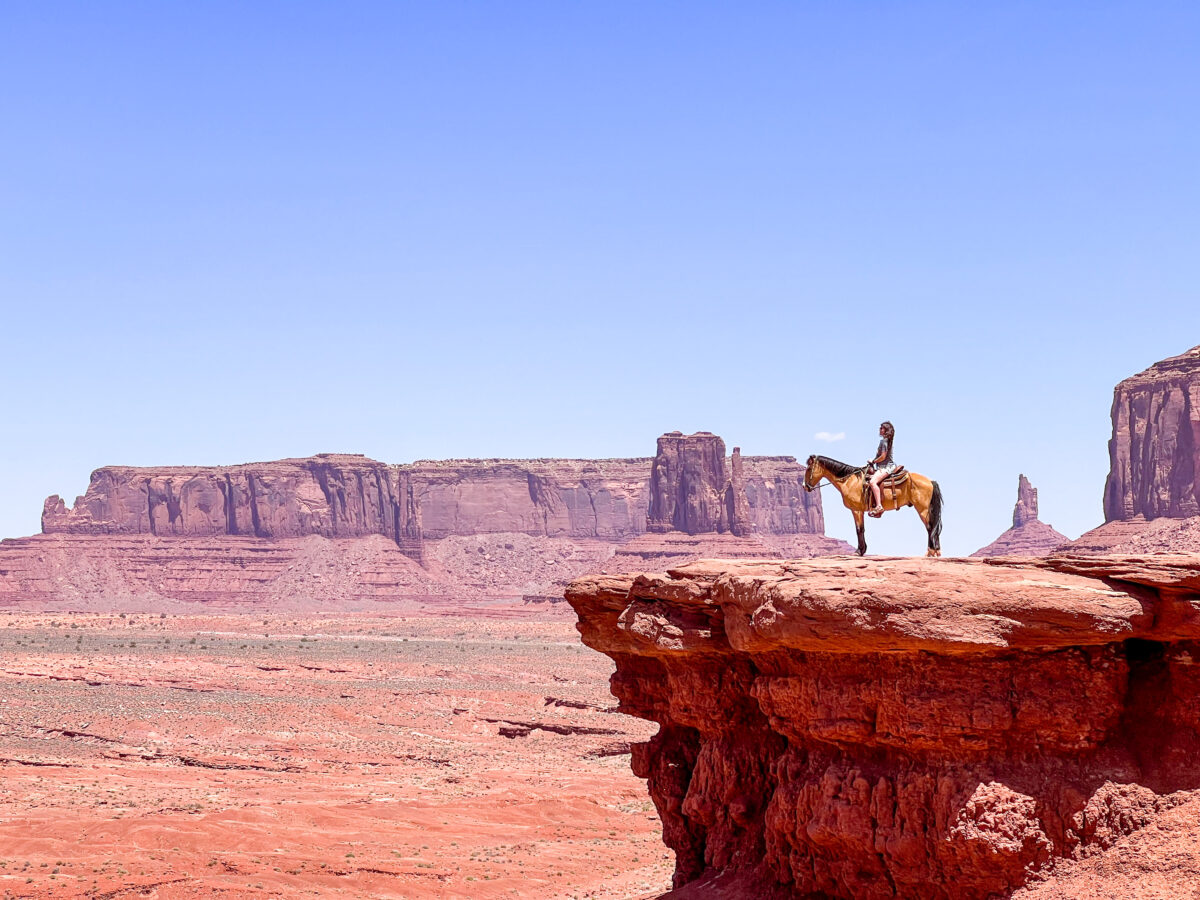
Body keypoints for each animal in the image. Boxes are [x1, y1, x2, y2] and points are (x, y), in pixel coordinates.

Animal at [801, 458, 940, 556]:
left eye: (808, 469)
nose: (804, 486)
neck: (850, 481)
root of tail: (930, 481)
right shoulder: (860, 511)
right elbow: (862, 529)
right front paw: (862, 550)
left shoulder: (856, 510)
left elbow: (859, 530)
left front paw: (859, 551)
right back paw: (936, 551)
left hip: (922, 509)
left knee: (930, 527)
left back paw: (930, 552)